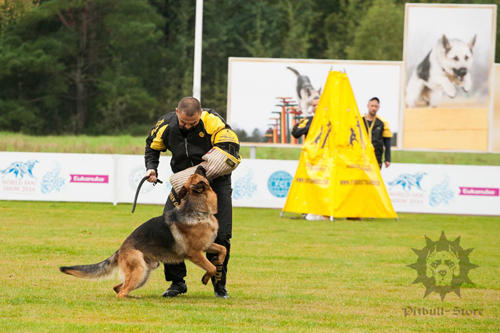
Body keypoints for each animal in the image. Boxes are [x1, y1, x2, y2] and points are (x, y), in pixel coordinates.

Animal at [59, 166, 226, 298]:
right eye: (199, 175)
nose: (200, 166)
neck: (198, 211)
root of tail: (120, 249)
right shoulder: (195, 254)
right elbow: (211, 267)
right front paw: (206, 278)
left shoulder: (208, 245)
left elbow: (223, 249)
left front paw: (218, 261)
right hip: (140, 271)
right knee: (121, 292)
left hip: (144, 272)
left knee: (118, 287)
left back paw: (135, 296)